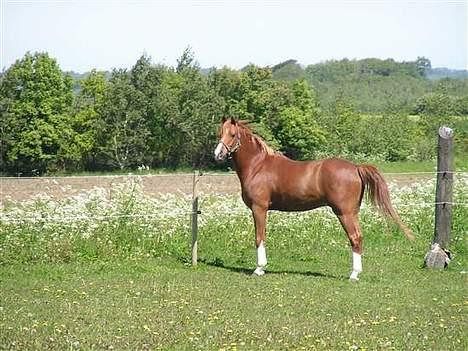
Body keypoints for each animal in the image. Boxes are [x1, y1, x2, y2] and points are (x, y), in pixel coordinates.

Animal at [214, 117, 414, 282]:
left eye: (233, 134)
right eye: (220, 133)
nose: (218, 154)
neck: (258, 166)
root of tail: (356, 167)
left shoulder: (259, 208)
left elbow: (259, 237)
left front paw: (259, 269)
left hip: (344, 213)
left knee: (355, 237)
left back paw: (353, 274)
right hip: (352, 212)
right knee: (359, 237)